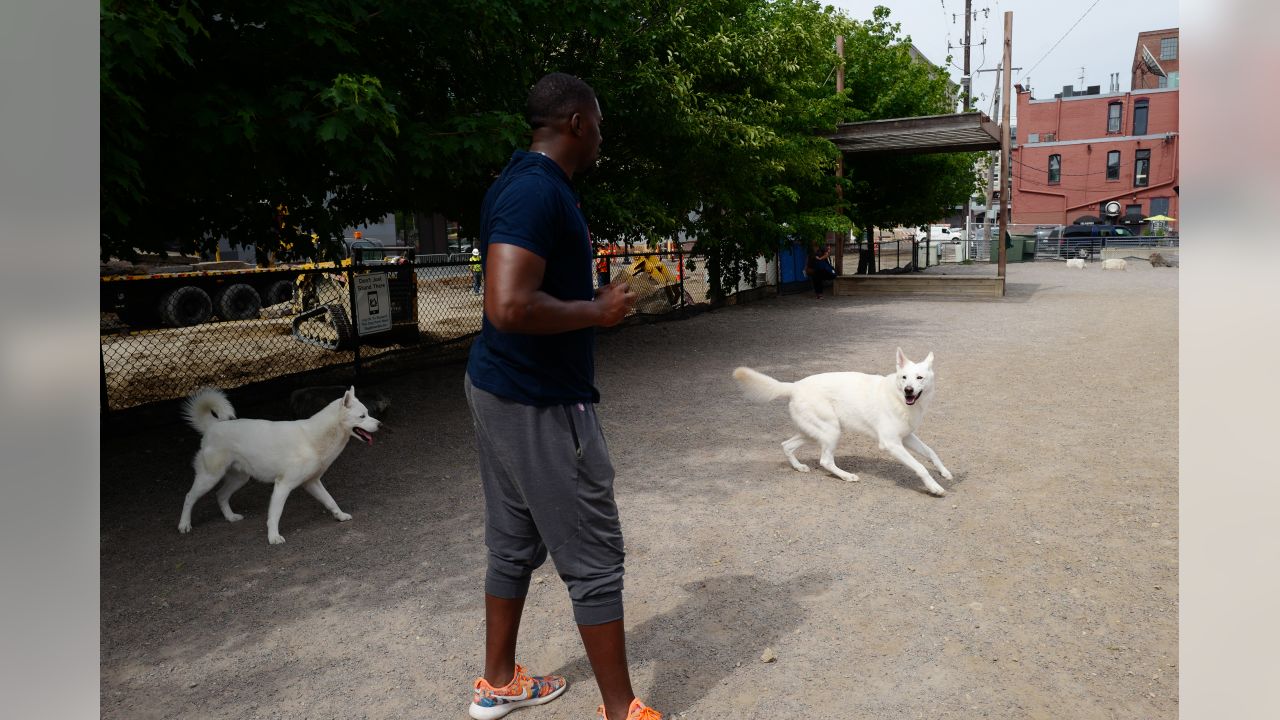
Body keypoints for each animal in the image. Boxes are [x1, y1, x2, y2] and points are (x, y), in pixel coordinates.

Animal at [179, 384, 378, 540]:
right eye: (362, 416)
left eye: (368, 414)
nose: (380, 424)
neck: (312, 439)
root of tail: (212, 426)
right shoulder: (283, 485)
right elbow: (275, 514)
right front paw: (273, 537)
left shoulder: (312, 482)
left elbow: (330, 501)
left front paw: (340, 516)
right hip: (209, 477)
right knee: (189, 497)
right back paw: (184, 525)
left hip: (239, 479)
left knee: (220, 495)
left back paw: (230, 517)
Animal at [737, 348, 957, 491]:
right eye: (904, 377)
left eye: (919, 378)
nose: (908, 390)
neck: (899, 398)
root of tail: (795, 385)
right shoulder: (891, 443)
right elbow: (920, 467)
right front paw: (934, 487)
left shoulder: (907, 437)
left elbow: (931, 452)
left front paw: (944, 473)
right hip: (831, 431)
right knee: (825, 461)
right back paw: (846, 476)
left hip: (814, 432)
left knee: (787, 445)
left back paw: (799, 467)